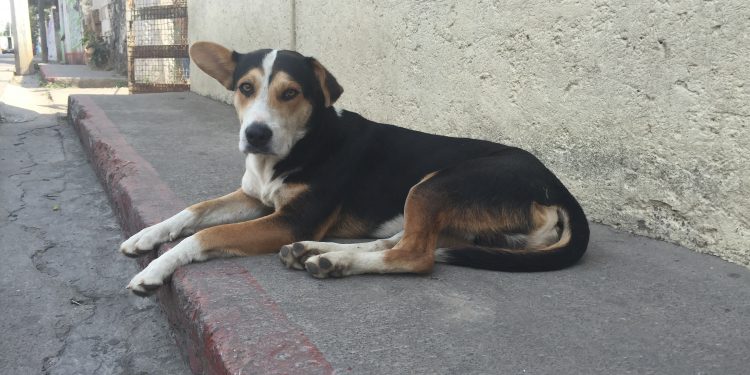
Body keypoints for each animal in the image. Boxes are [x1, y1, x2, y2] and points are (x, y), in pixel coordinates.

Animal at [122, 41, 592, 296]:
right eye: (245, 87)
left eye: (290, 93)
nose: (255, 134)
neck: (298, 145)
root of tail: (557, 187)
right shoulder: (254, 197)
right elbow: (195, 211)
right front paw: (146, 235)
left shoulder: (290, 219)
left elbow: (206, 235)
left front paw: (155, 269)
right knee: (401, 240)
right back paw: (317, 252)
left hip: (435, 185)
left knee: (417, 254)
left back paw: (334, 261)